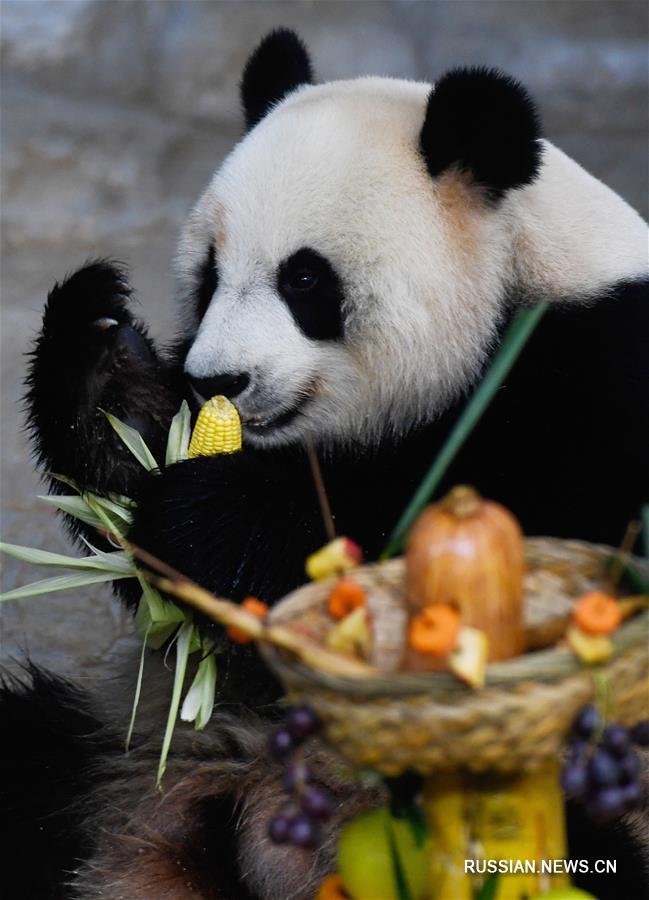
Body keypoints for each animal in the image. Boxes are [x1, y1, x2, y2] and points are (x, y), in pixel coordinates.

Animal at [3, 28, 648, 900]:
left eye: (305, 278)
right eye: (209, 274)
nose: (216, 381)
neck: (519, 275)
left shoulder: (601, 380)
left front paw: (207, 516)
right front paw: (106, 361)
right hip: (107, 748)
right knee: (28, 754)